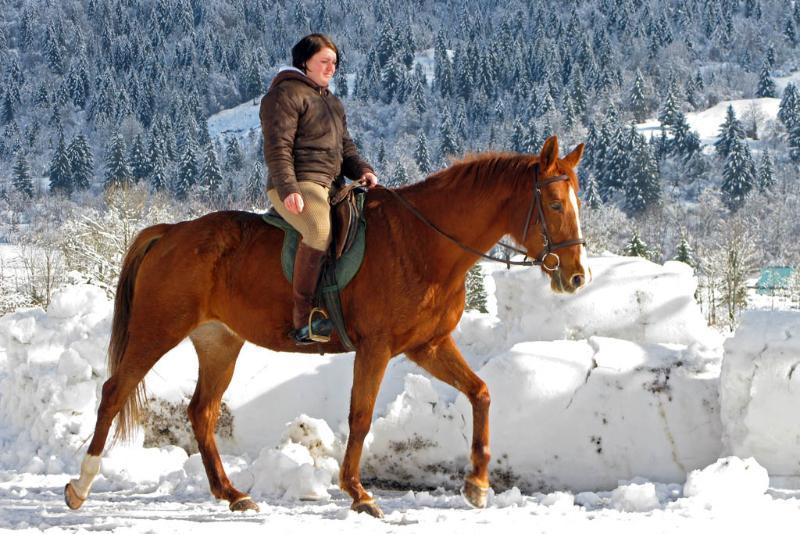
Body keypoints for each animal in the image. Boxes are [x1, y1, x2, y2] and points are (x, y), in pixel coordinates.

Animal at [65, 137, 588, 520]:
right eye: (554, 204)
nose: (576, 276)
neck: (424, 243)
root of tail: (170, 232)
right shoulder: (376, 348)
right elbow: (360, 416)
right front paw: (358, 492)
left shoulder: (428, 345)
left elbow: (480, 392)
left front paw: (477, 484)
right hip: (156, 332)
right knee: (114, 393)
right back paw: (81, 485)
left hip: (219, 342)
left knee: (202, 412)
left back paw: (232, 493)